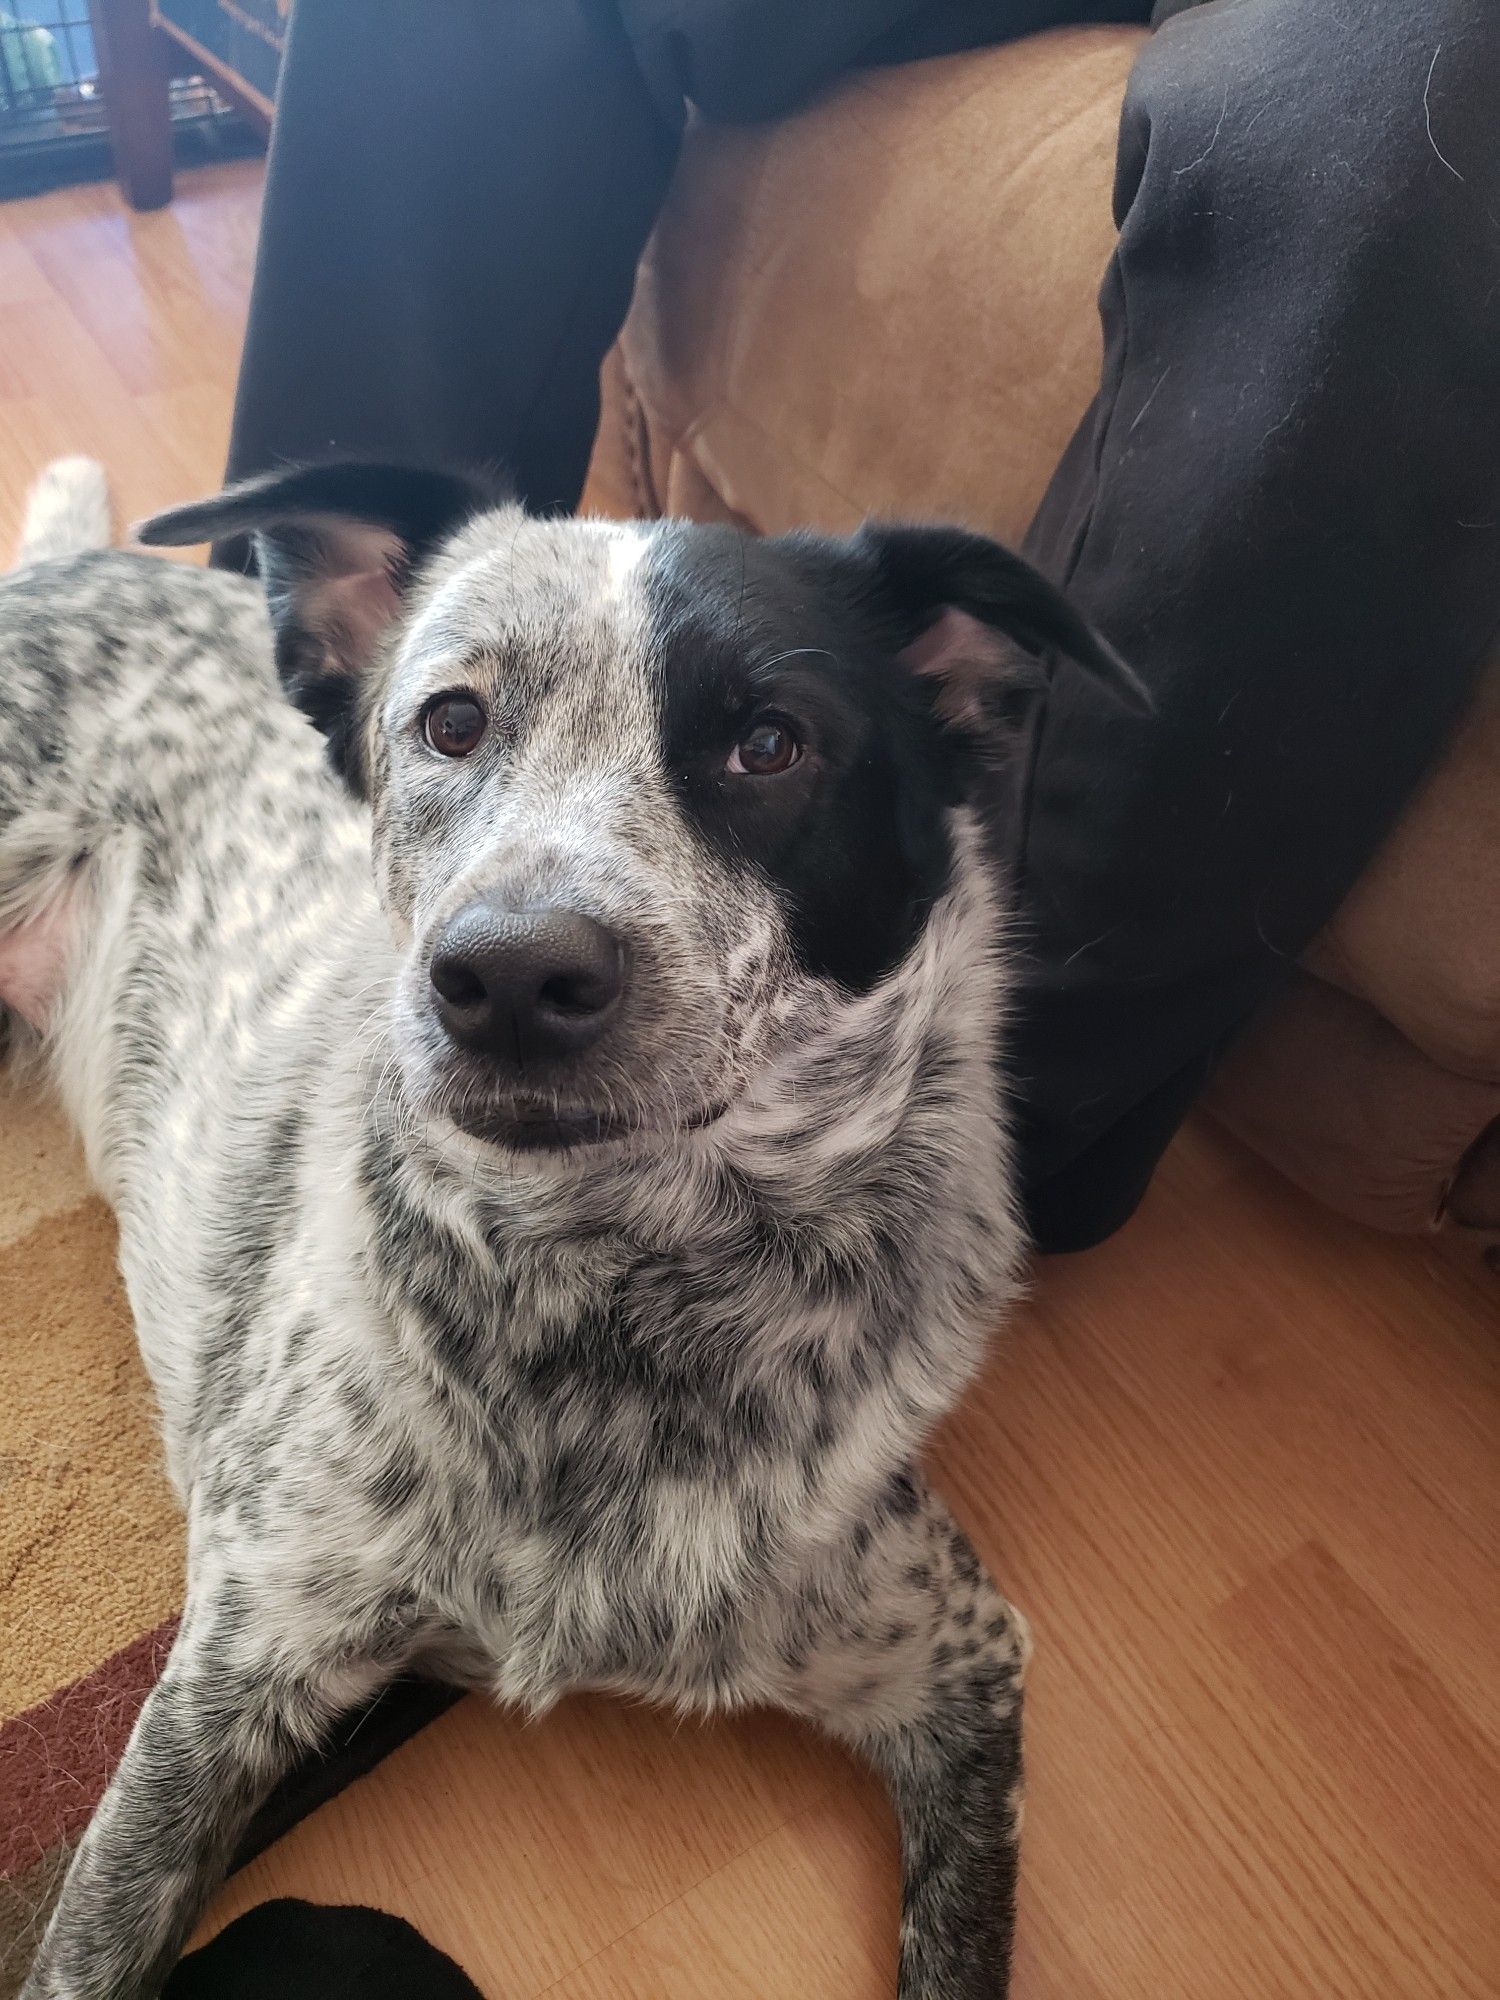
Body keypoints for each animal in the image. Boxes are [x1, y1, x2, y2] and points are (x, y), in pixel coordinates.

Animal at [2, 458, 1136, 2000]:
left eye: (769, 745)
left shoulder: (960, 1662)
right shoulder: (229, 1676)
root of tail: (68, 567)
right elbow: (92, 1942)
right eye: (451, 721)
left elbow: (960, 1946)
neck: (609, 1295)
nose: (508, 975)